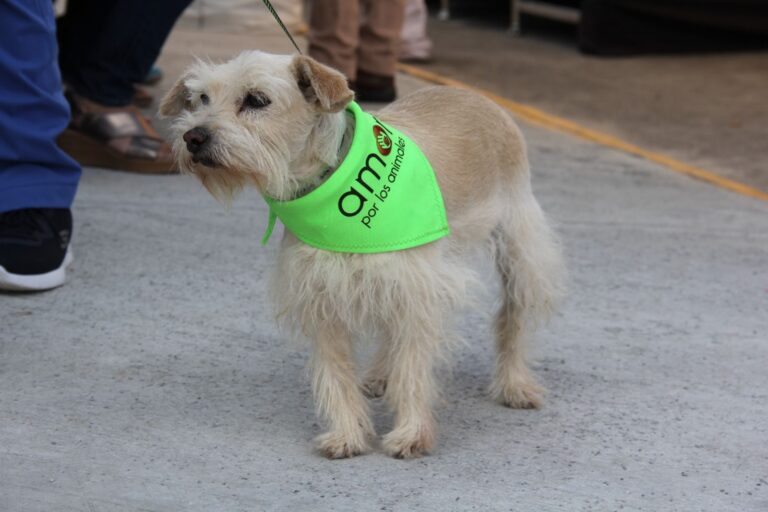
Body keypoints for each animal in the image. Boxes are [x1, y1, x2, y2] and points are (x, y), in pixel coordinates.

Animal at [159, 51, 564, 460]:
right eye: (201, 99)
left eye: (256, 100)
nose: (193, 137)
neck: (329, 184)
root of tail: (474, 95)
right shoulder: (322, 296)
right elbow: (336, 373)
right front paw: (347, 435)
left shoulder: (418, 292)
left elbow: (412, 367)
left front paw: (411, 434)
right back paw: (381, 375)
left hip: (520, 251)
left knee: (511, 317)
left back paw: (514, 384)